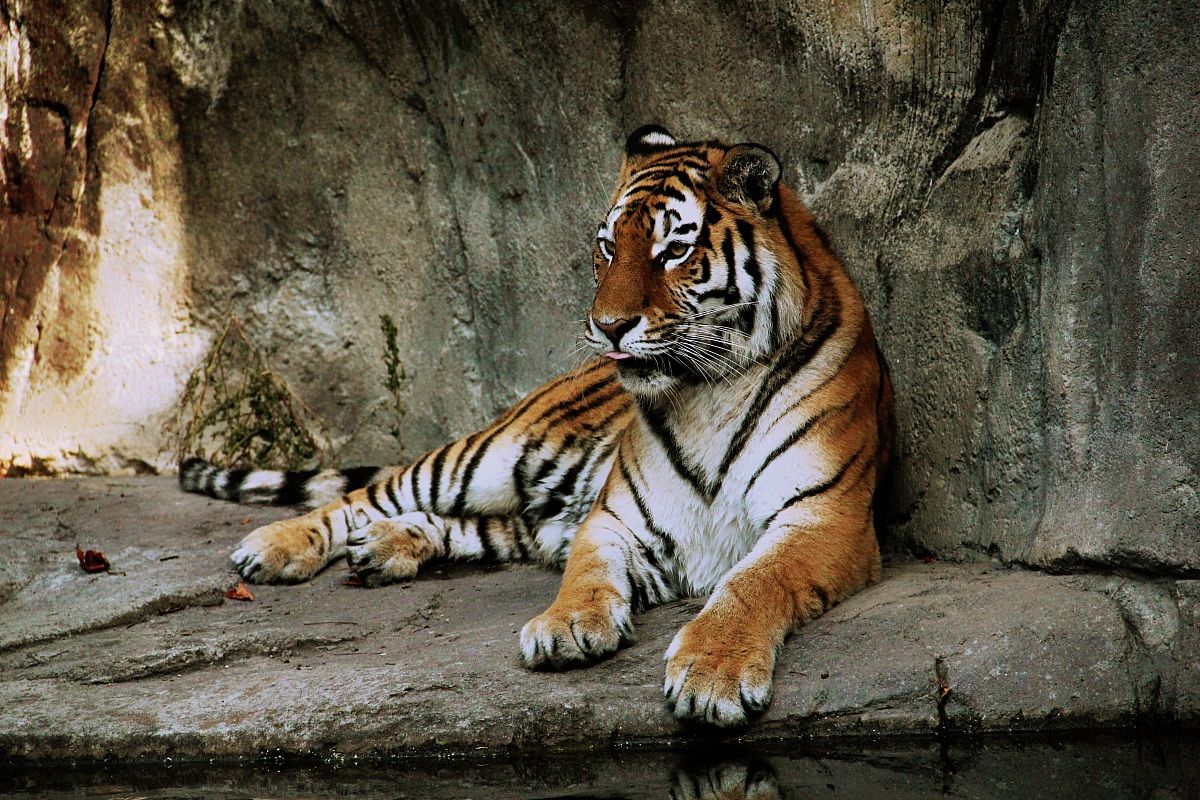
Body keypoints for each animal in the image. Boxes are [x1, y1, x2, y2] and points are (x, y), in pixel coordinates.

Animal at [180, 125, 895, 727]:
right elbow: (586, 573)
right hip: (485, 457)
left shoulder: (823, 518)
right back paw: (275, 547)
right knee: (363, 496)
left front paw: (710, 675)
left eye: (674, 250)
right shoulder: (615, 518)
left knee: (474, 527)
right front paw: (566, 626)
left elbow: (750, 583)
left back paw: (385, 546)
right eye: (607, 248)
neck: (708, 392)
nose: (607, 327)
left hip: (525, 505)